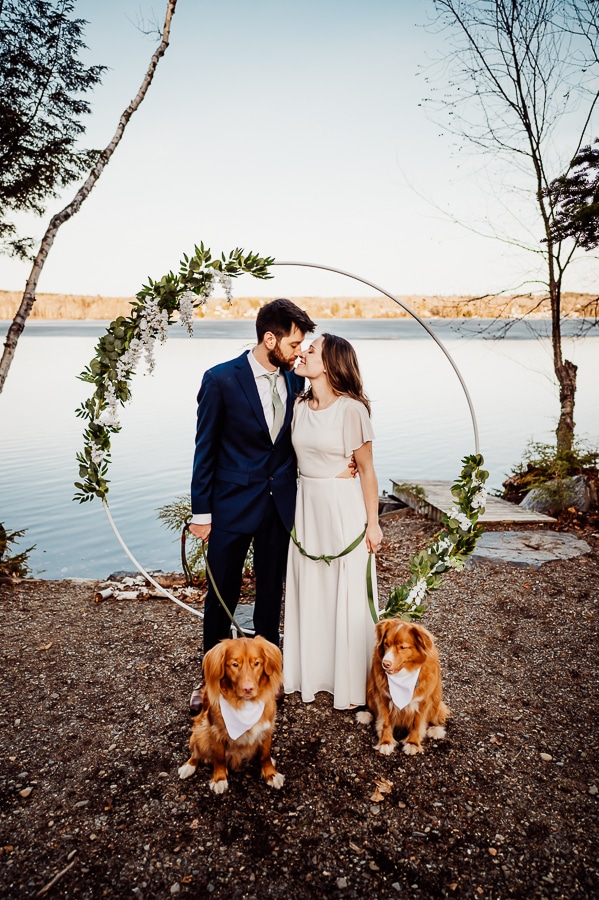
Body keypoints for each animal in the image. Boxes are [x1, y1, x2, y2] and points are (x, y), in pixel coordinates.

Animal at [178, 636, 286, 792]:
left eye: (256, 663)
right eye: (235, 664)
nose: (248, 688)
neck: (244, 705)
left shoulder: (266, 728)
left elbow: (265, 755)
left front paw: (271, 774)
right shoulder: (215, 730)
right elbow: (219, 757)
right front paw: (219, 778)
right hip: (200, 731)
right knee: (196, 752)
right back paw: (188, 766)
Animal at [356, 616, 450, 756]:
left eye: (403, 647)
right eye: (386, 644)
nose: (385, 663)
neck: (403, 675)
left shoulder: (424, 700)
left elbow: (417, 723)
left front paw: (413, 743)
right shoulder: (383, 697)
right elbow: (385, 722)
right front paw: (386, 742)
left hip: (436, 697)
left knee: (435, 715)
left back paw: (435, 729)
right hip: (371, 689)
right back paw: (366, 714)